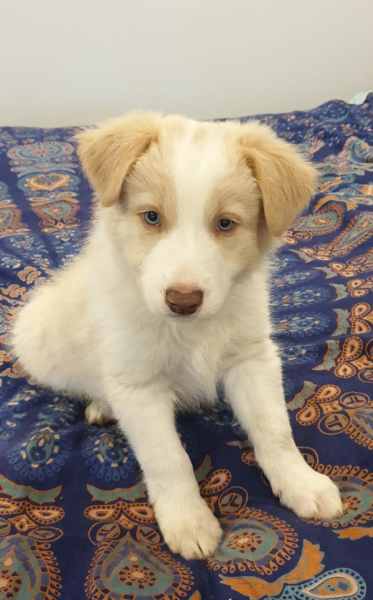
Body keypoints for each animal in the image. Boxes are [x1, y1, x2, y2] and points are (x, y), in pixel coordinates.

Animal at [12, 112, 342, 556]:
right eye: (152, 217)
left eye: (225, 223)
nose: (182, 300)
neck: (190, 330)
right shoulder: (138, 384)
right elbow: (168, 458)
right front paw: (188, 520)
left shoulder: (252, 357)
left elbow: (275, 431)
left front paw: (300, 482)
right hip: (37, 338)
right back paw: (102, 404)